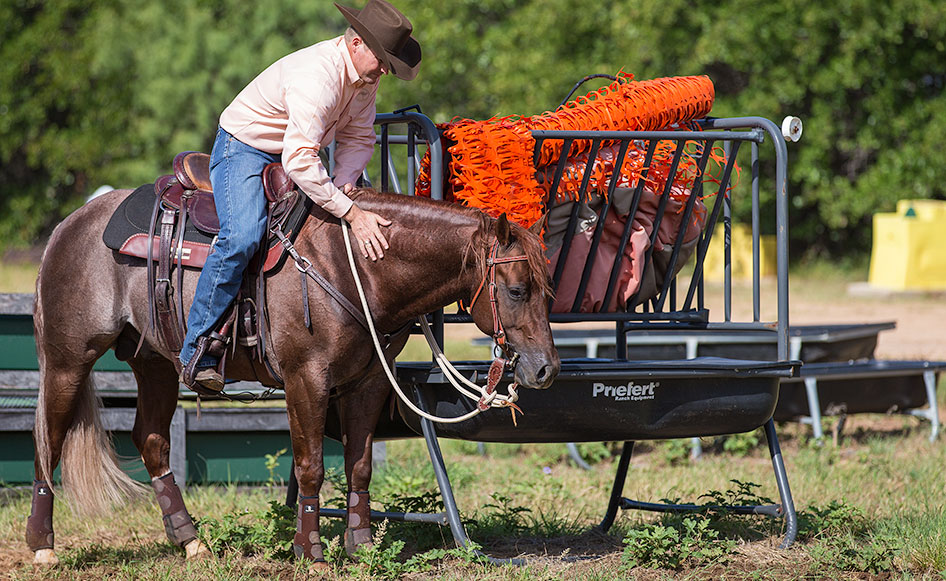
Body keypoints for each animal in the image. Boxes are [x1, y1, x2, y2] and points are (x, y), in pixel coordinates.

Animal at [27, 187, 560, 568]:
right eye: (516, 290)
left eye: (545, 289)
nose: (546, 369)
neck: (350, 266)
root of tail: (69, 225)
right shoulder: (307, 380)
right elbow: (311, 467)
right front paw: (310, 550)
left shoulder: (366, 384)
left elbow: (359, 467)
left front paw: (360, 546)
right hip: (68, 360)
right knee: (49, 441)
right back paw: (43, 545)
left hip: (154, 363)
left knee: (152, 441)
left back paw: (191, 541)